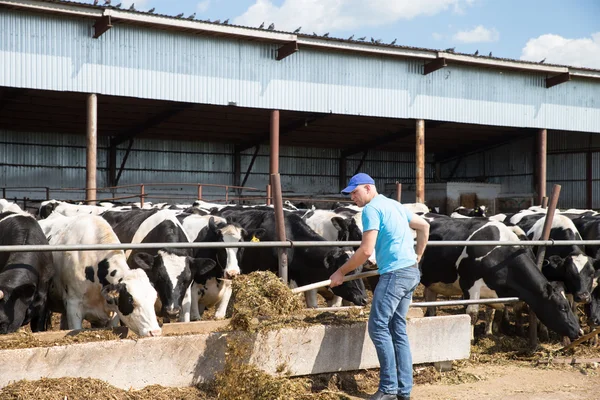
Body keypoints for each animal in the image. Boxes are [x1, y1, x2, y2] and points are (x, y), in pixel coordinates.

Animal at [420, 217, 584, 342]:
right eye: (562, 307)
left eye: (568, 305)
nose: (579, 331)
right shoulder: (470, 284)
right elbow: (472, 313)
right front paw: (471, 339)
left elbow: (494, 312)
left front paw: (493, 333)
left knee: (430, 302)